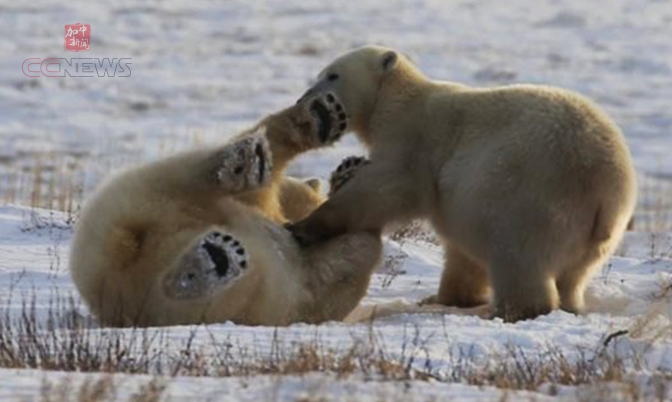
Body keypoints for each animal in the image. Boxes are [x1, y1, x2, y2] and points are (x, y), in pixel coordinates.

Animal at [288, 46, 636, 324]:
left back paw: (510, 311)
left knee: (518, 257)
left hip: (534, 197)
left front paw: (303, 226)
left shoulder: (414, 140)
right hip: (594, 234)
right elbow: (460, 251)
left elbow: (384, 190)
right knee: (575, 274)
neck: (396, 102)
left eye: (332, 75)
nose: (304, 99)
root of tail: (608, 185)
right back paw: (567, 304)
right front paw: (442, 298)